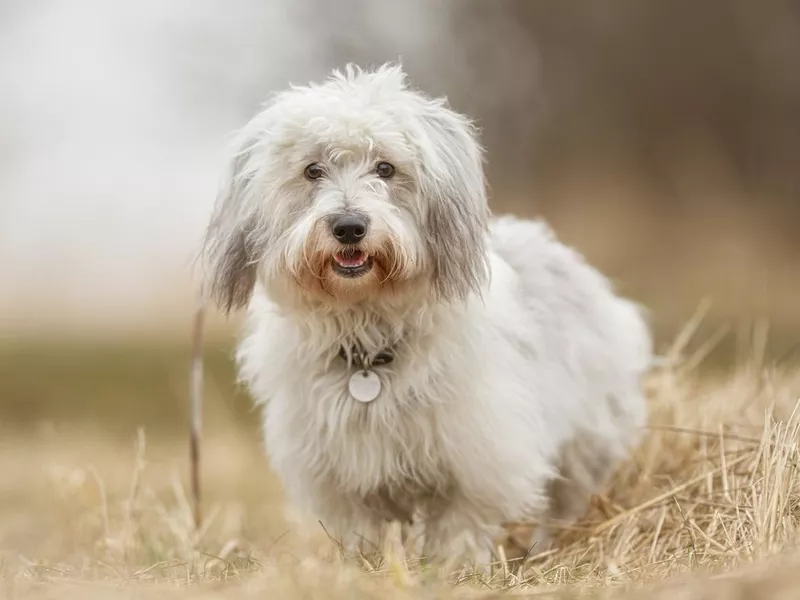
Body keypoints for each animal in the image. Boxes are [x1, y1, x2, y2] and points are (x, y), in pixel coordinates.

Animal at [200, 63, 648, 564]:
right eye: (312, 170)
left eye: (385, 168)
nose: (349, 226)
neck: (369, 342)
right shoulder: (342, 476)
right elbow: (361, 533)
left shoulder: (477, 458)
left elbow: (459, 528)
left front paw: (453, 569)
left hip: (586, 445)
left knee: (565, 502)